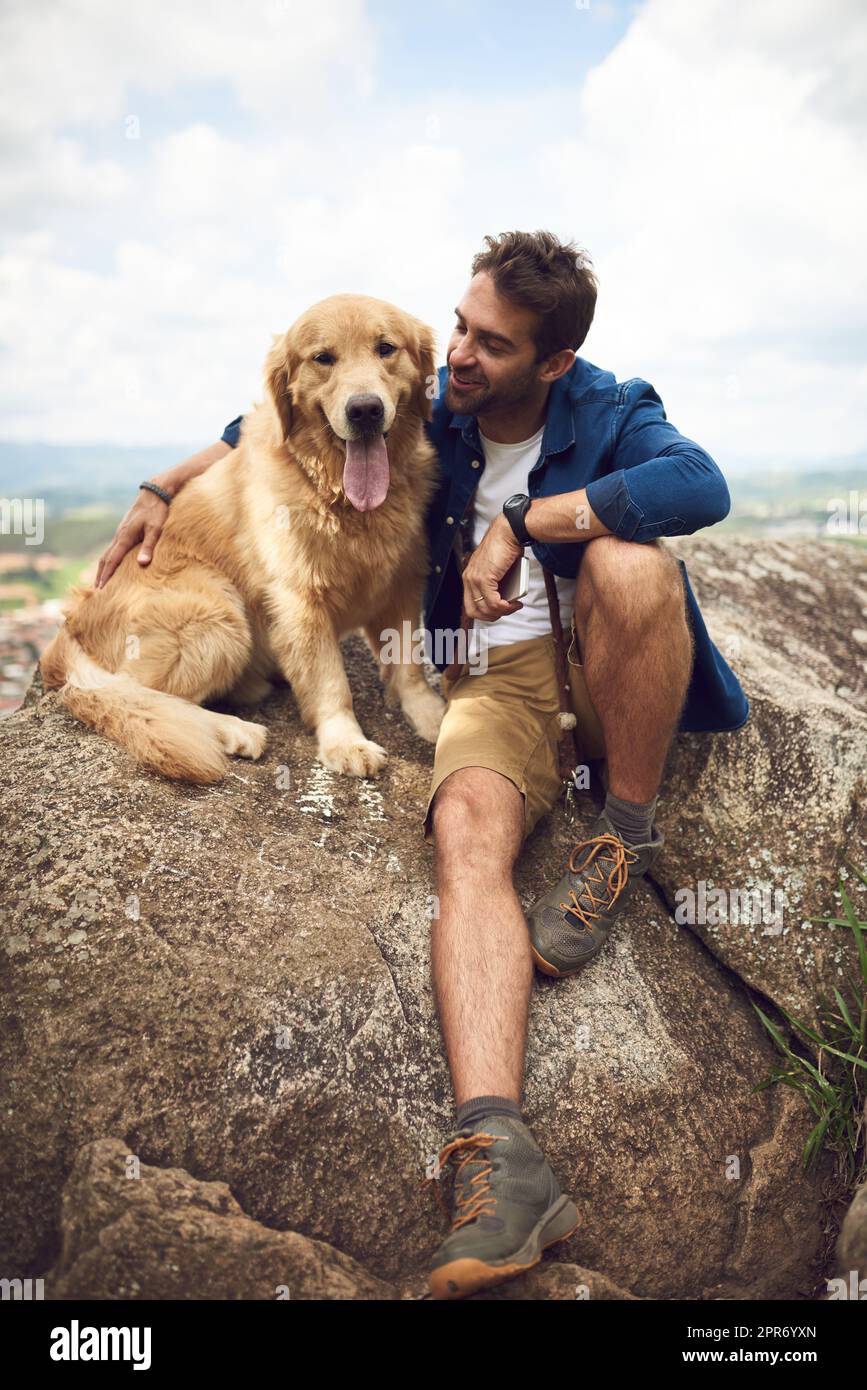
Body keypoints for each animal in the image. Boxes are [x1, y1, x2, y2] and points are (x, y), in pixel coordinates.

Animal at [38, 293, 447, 783]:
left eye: (385, 348)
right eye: (323, 358)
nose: (364, 410)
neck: (336, 495)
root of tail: (69, 626)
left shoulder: (404, 580)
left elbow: (408, 664)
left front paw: (430, 715)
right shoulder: (298, 599)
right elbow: (331, 680)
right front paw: (345, 742)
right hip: (216, 614)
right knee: (133, 693)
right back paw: (232, 729)